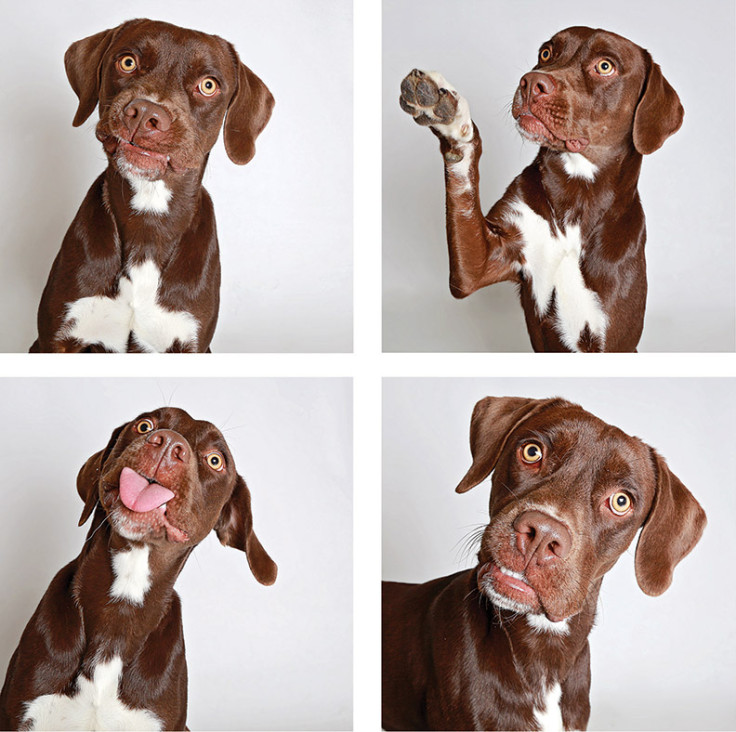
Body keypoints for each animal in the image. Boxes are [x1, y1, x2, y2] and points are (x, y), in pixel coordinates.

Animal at [30, 21, 274, 354]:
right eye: (127, 62)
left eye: (208, 85)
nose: (146, 114)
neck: (149, 218)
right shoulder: (56, 339)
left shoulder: (189, 341)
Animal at [400, 30, 680, 356]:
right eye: (546, 53)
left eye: (605, 66)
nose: (532, 82)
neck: (576, 197)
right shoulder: (479, 265)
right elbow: (463, 185)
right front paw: (448, 116)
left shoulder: (612, 340)